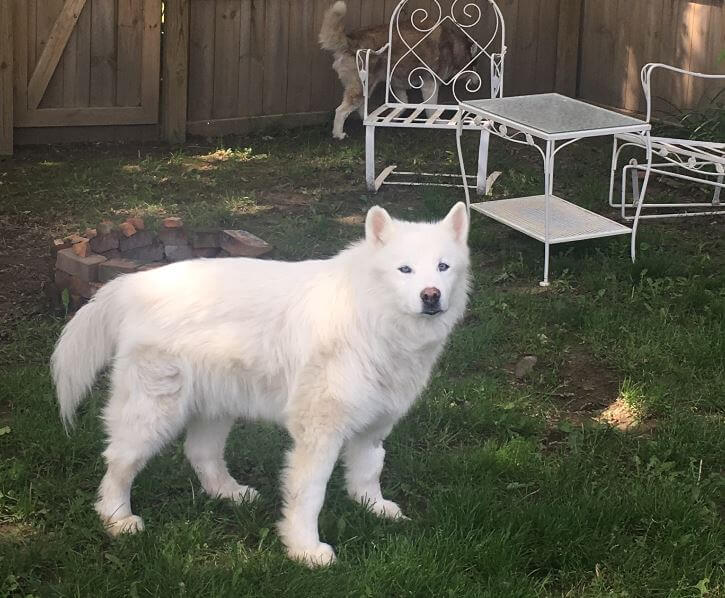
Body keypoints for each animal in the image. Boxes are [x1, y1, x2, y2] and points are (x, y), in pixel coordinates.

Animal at [51, 202, 470, 568]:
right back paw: (117, 519)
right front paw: (305, 550)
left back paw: (229, 493)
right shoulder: (319, 432)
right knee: (119, 463)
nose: (430, 296)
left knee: (200, 452)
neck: (371, 313)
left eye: (443, 267)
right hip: (153, 412)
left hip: (215, 404)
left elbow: (368, 469)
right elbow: (310, 494)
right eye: (405, 270)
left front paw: (373, 507)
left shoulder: (374, 424)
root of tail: (134, 282)